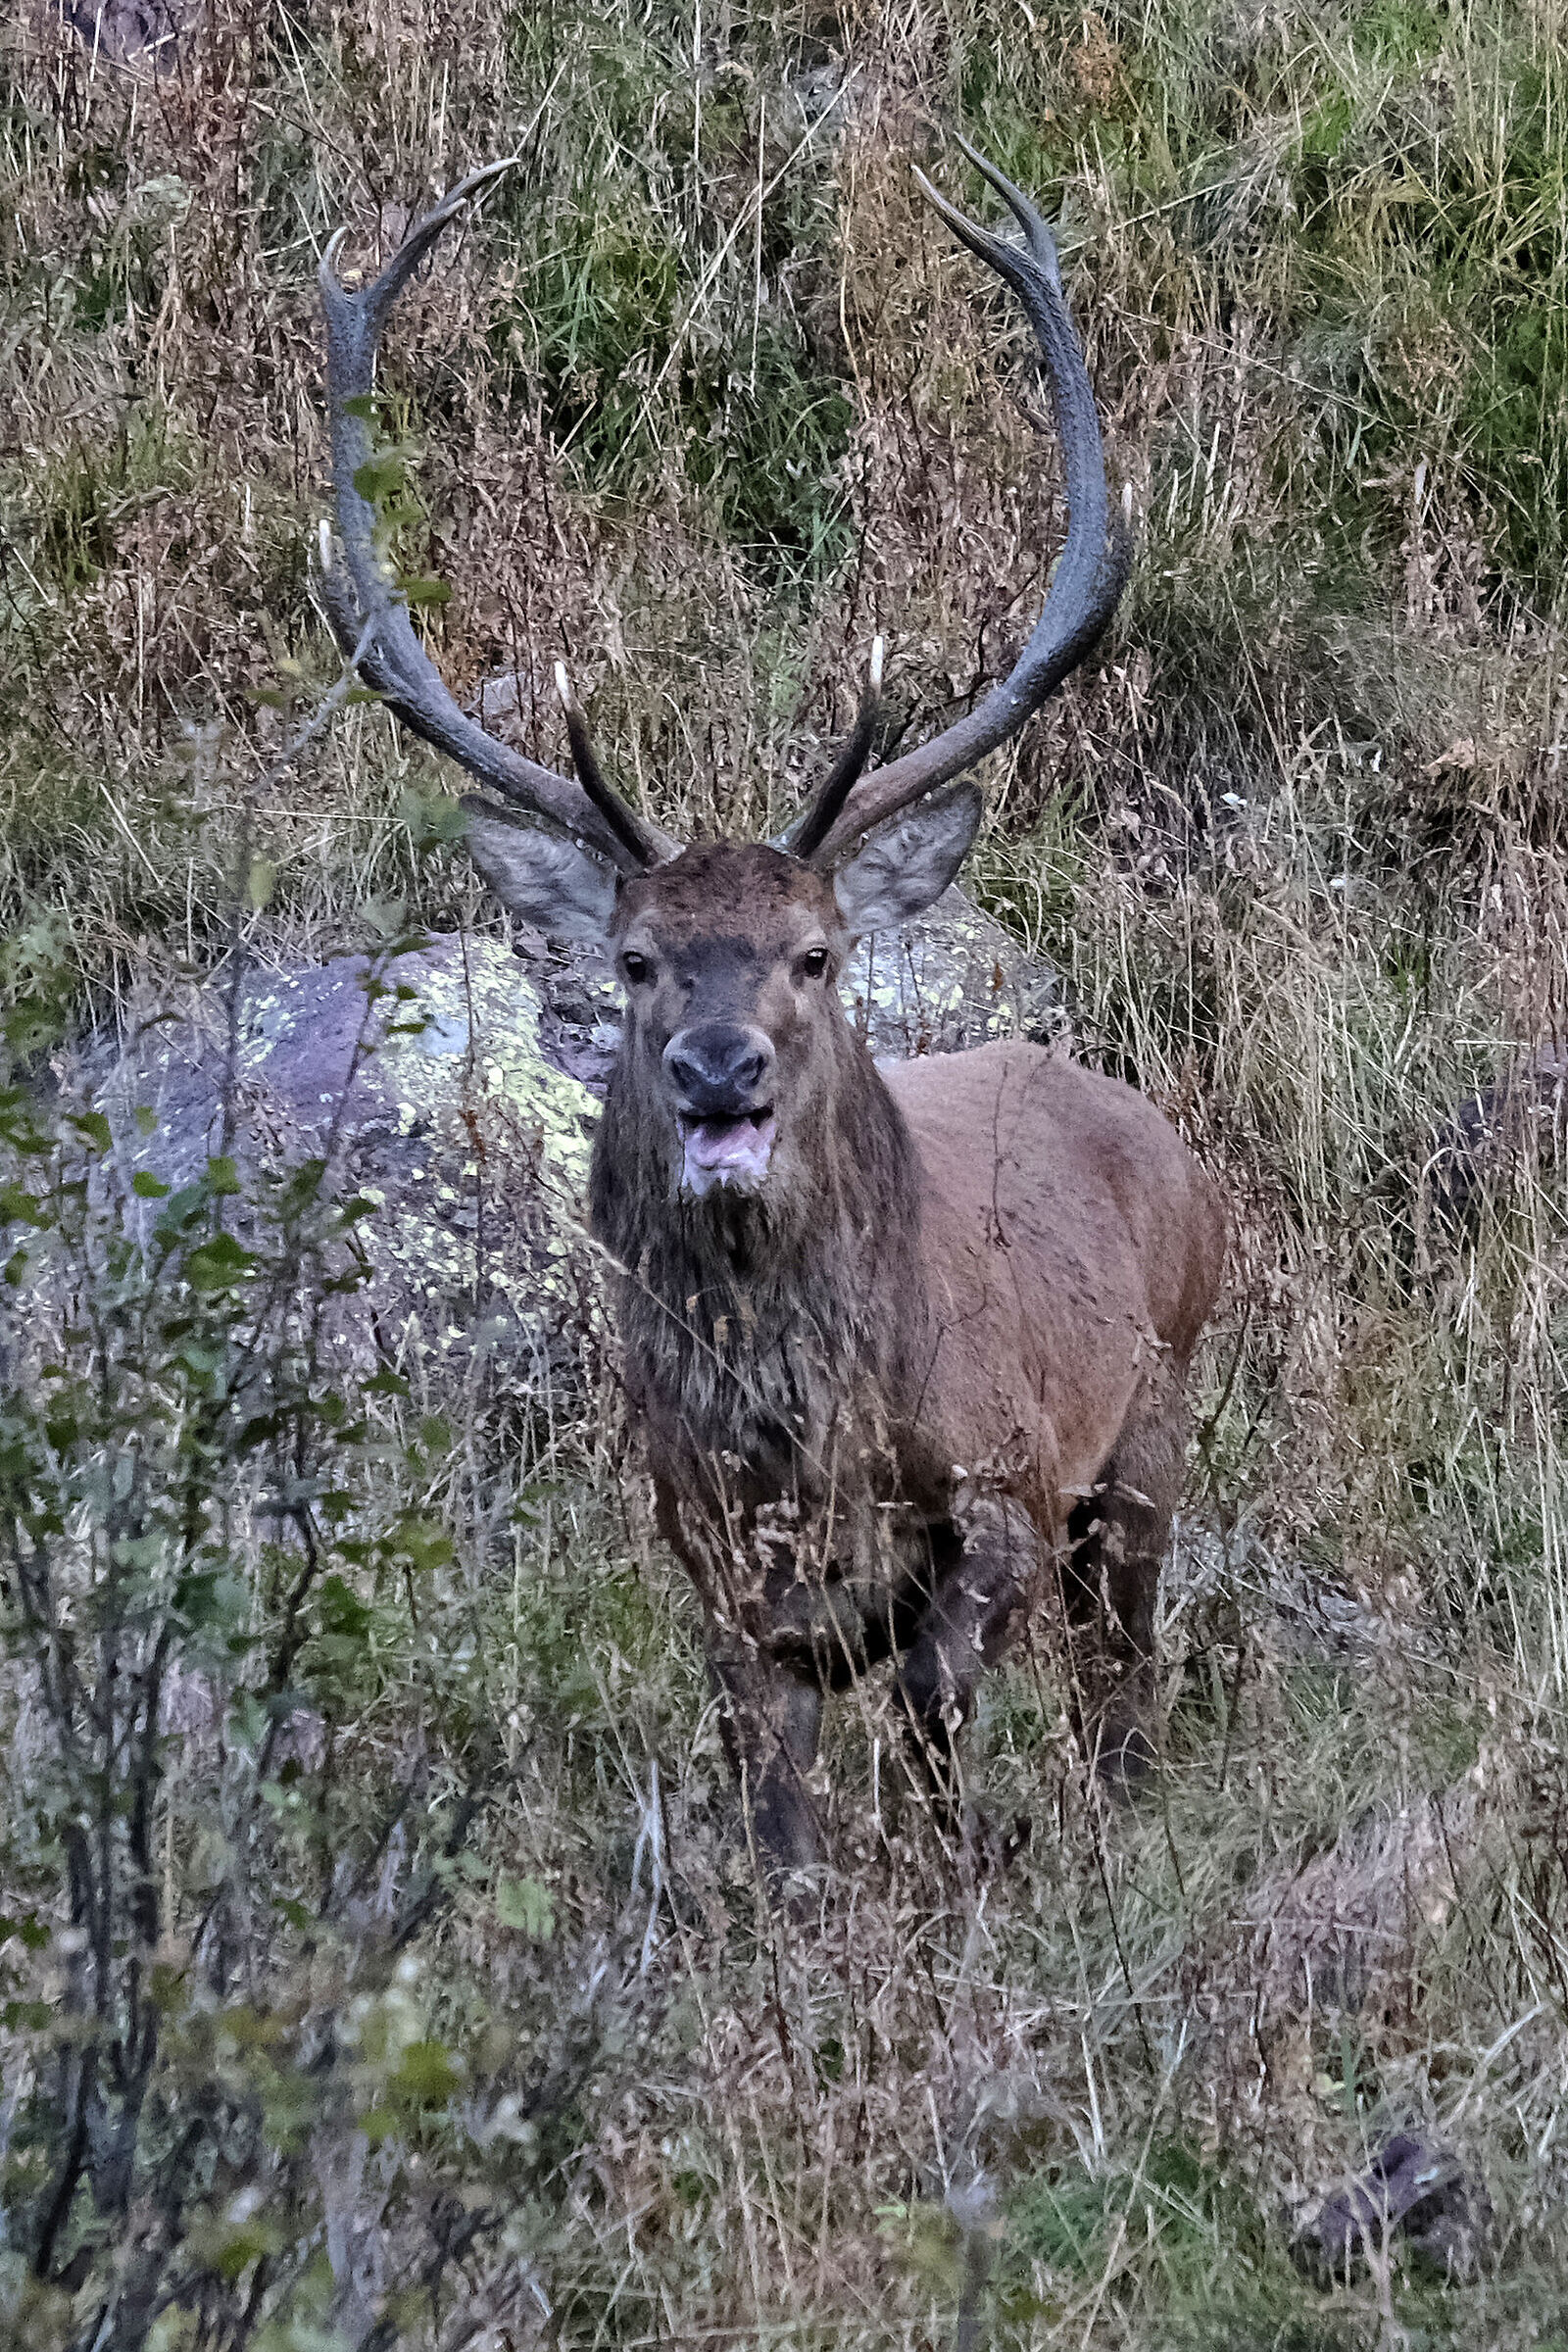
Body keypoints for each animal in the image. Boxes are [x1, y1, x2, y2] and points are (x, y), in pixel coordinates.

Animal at [313, 140, 1226, 1879]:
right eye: (634, 958)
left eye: (815, 953)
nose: (717, 1069)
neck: (809, 1455)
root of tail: (1163, 1139)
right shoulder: (711, 1576)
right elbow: (781, 1826)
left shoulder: (1007, 1490)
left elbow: (935, 1725)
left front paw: (956, 1892)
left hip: (1153, 1433)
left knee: (1125, 1688)